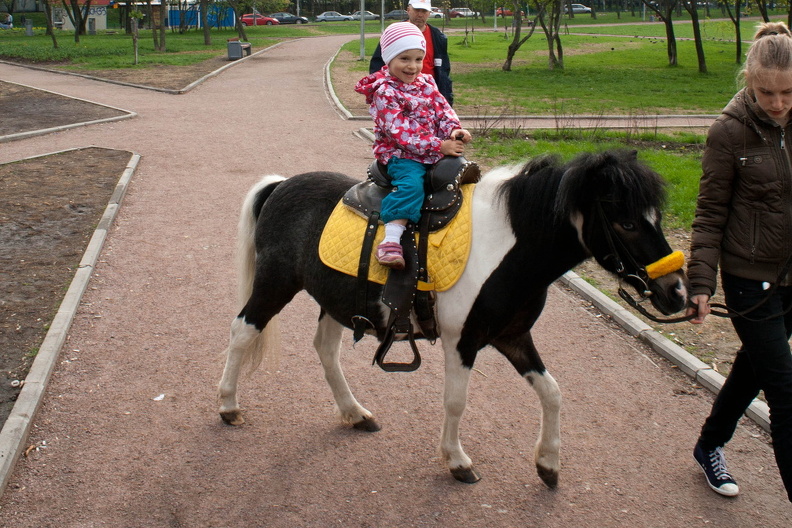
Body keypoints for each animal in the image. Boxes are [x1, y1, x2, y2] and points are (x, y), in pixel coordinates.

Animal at [217, 147, 688, 486]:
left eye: (657, 217)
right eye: (626, 223)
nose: (677, 291)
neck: (504, 250)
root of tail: (281, 185)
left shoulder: (513, 337)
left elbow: (553, 393)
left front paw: (549, 464)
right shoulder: (462, 340)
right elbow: (456, 401)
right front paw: (457, 461)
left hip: (335, 299)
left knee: (325, 350)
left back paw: (355, 413)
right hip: (275, 285)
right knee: (241, 332)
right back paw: (228, 405)